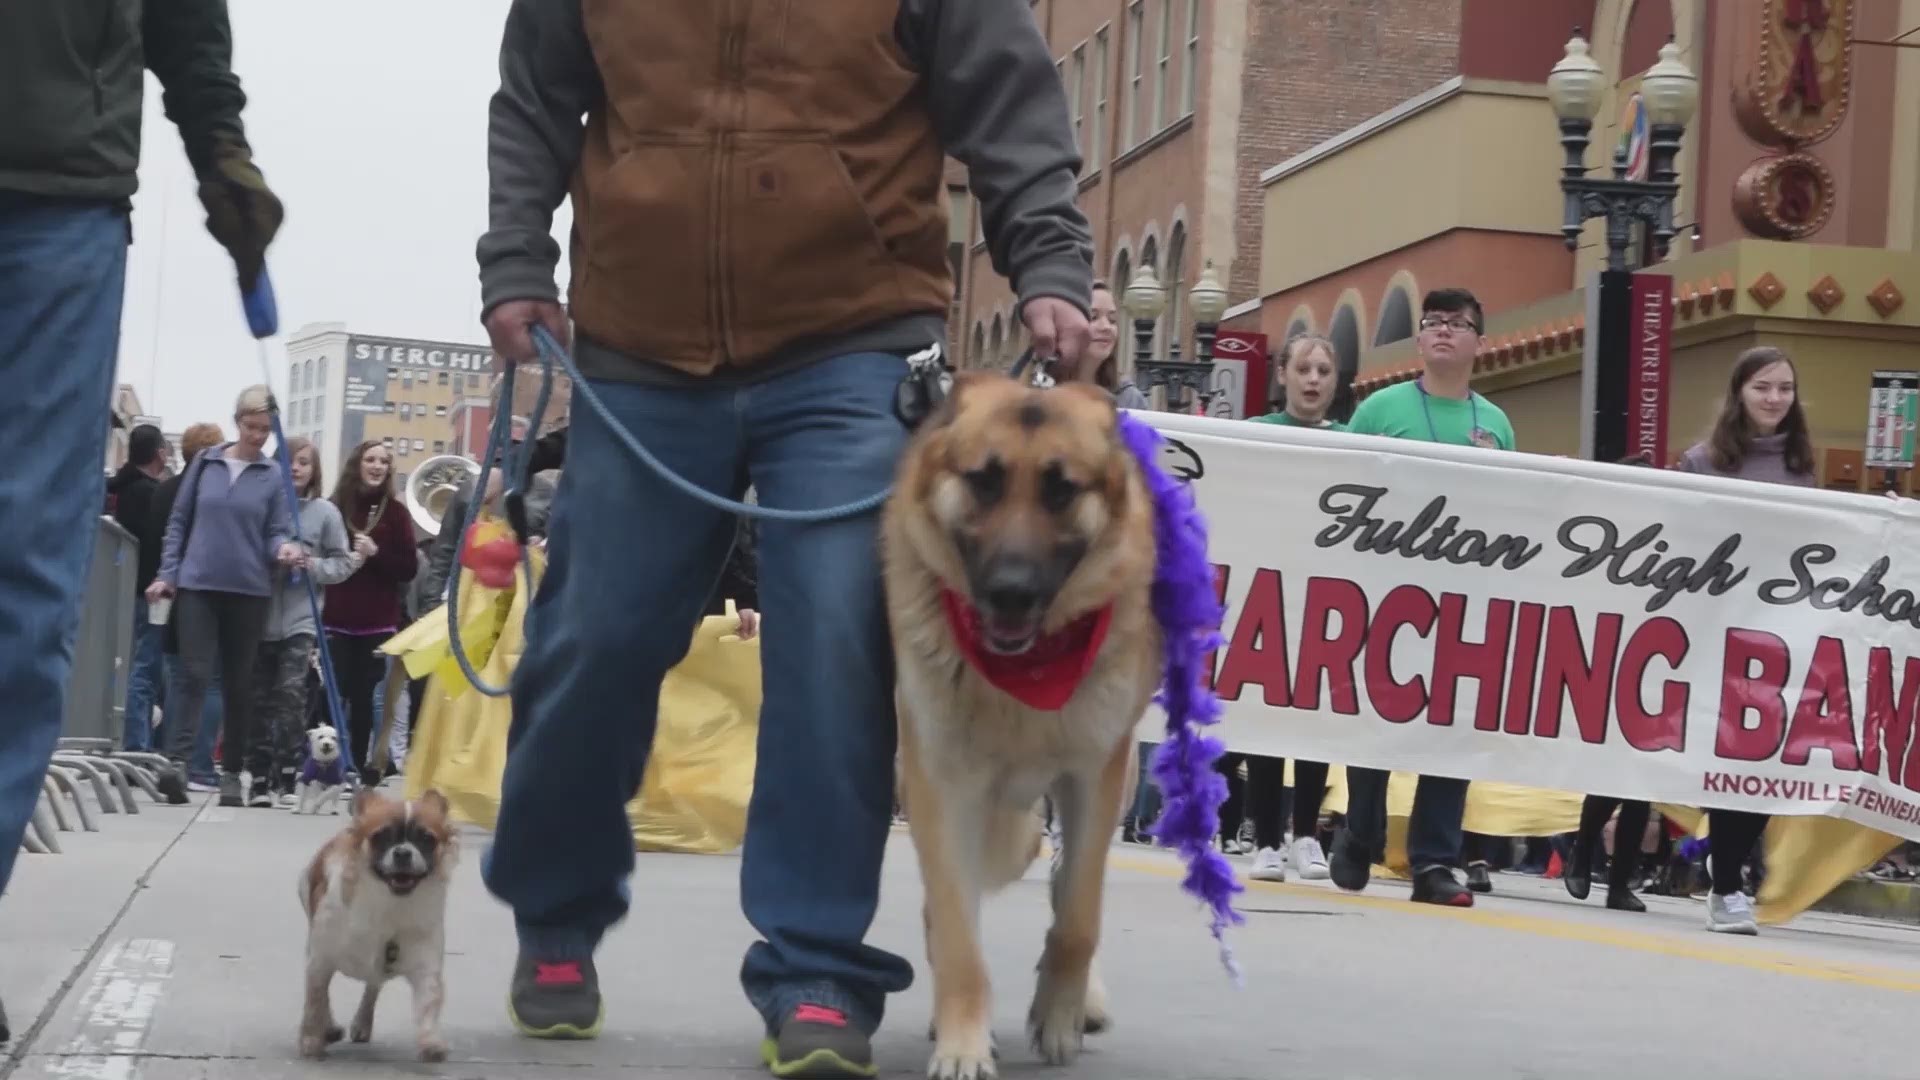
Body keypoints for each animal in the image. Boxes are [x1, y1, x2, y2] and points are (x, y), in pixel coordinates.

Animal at [297, 787, 458, 1053]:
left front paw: (431, 1040)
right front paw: (311, 1039)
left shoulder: (424, 960)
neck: (389, 902)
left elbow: (428, 1000)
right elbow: (316, 1000)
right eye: (380, 836)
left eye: (427, 839)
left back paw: (362, 1022)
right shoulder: (320, 958)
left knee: (373, 986)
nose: (402, 851)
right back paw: (329, 1028)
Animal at [879, 372, 1152, 1076]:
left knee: (1068, 894)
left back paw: (1085, 1002)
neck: (1025, 672)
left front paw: (1058, 1015)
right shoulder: (943, 787)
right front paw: (963, 1042)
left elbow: (1079, 914)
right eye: (985, 481)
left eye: (1061, 490)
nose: (1010, 590)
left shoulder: (1093, 778)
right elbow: (956, 933)